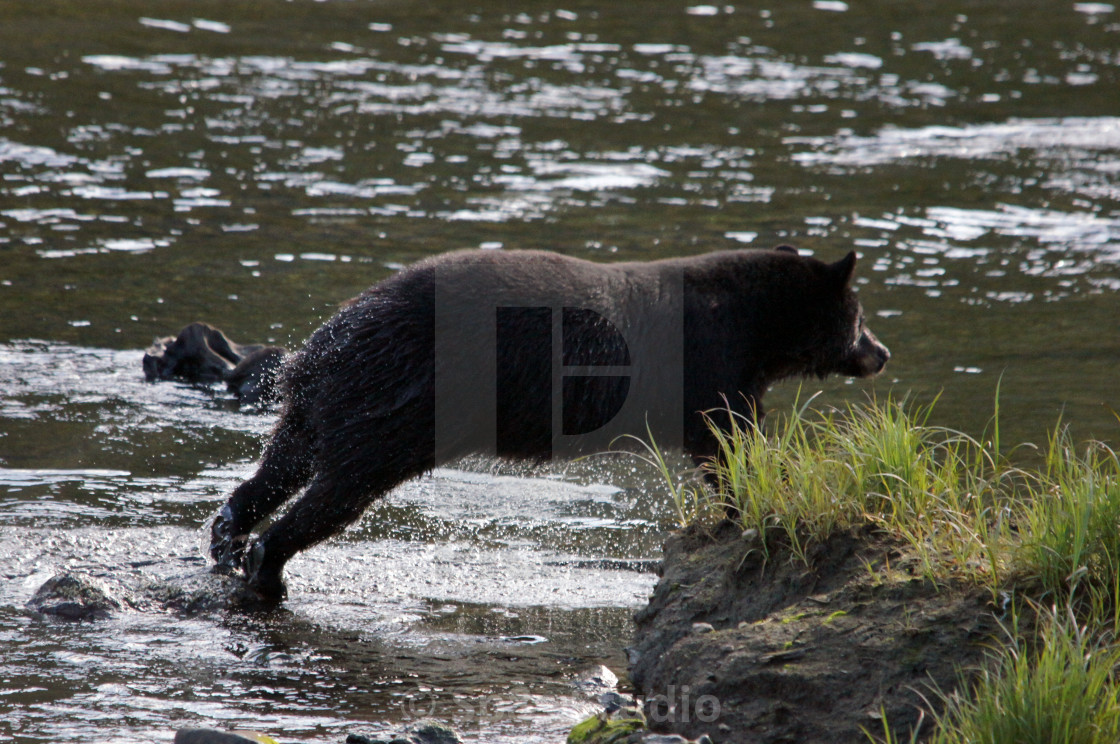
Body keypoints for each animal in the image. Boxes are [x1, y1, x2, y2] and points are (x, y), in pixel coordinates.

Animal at [210, 246, 891, 600]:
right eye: (860, 316)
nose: (881, 353)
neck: (755, 324)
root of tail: (322, 343)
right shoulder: (711, 364)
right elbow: (726, 442)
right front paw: (744, 506)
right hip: (394, 404)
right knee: (337, 490)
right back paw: (267, 566)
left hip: (325, 401)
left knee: (280, 464)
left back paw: (228, 536)